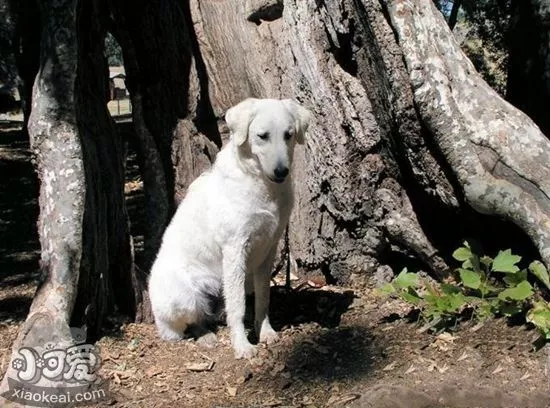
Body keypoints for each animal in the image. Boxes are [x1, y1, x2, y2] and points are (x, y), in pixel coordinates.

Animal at [148, 98, 310, 356]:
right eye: (262, 136)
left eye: (289, 135)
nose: (281, 172)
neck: (262, 186)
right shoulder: (235, 250)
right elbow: (237, 307)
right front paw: (242, 345)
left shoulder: (269, 249)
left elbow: (263, 299)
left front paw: (265, 332)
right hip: (185, 296)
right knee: (188, 324)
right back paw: (204, 336)